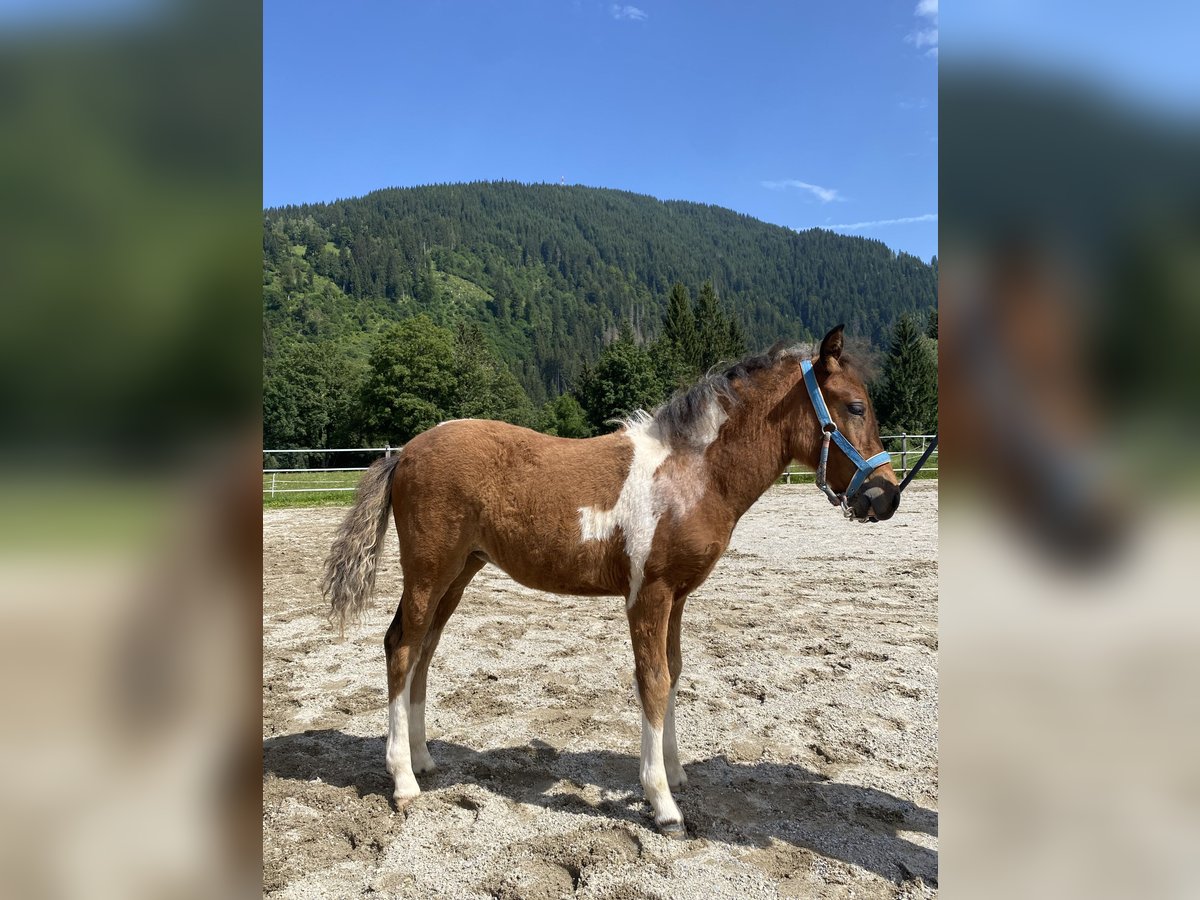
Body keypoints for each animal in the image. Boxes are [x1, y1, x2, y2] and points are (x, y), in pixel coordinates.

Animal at [324, 326, 897, 840]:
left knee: (423, 650)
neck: (692, 474)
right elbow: (653, 681)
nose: (884, 496)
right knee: (401, 647)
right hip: (428, 571)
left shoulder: (678, 597)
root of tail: (404, 452)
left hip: (459, 573)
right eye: (854, 407)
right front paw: (662, 804)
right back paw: (403, 782)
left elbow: (674, 672)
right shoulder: (649, 595)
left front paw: (677, 773)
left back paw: (424, 760)